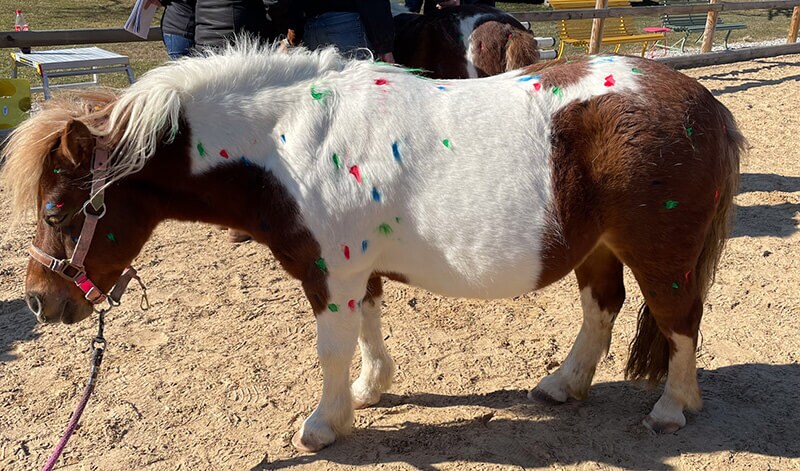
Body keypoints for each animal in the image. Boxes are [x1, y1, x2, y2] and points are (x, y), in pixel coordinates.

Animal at [1, 43, 743, 453]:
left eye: (56, 208)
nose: (39, 301)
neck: (287, 143)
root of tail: (705, 104)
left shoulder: (327, 270)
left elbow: (331, 347)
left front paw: (326, 424)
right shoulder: (355, 269)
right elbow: (368, 328)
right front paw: (371, 388)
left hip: (659, 250)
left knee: (680, 319)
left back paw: (673, 408)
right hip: (598, 245)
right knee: (602, 307)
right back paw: (563, 385)